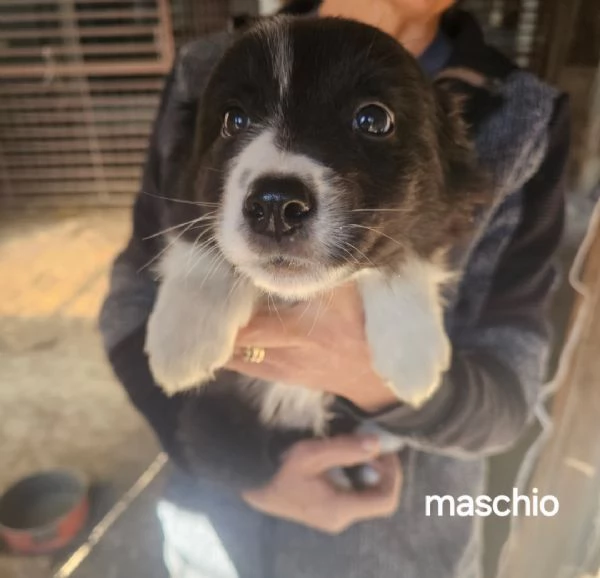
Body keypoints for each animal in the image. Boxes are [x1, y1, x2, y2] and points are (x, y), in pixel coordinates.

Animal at [145, 16, 488, 464]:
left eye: (373, 120)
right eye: (233, 120)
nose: (275, 204)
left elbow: (403, 251)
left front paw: (413, 357)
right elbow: (200, 239)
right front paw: (182, 340)